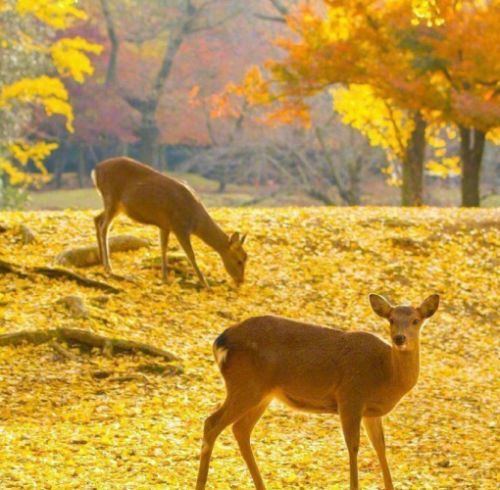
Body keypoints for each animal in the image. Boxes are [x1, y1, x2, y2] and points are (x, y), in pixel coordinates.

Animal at [91, 157, 247, 288]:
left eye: (247, 258)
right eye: (239, 260)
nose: (241, 281)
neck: (195, 220)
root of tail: (95, 170)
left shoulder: (165, 225)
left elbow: (163, 248)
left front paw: (165, 278)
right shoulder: (179, 227)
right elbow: (191, 255)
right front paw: (205, 284)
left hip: (116, 206)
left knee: (97, 219)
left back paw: (101, 261)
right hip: (111, 198)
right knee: (104, 227)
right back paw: (108, 267)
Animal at [195, 292, 438, 488]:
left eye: (415, 320)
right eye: (391, 320)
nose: (399, 338)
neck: (386, 375)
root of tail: (219, 342)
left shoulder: (371, 412)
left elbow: (380, 446)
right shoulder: (350, 396)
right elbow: (353, 446)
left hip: (262, 393)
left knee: (240, 429)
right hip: (245, 385)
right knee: (212, 423)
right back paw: (201, 484)